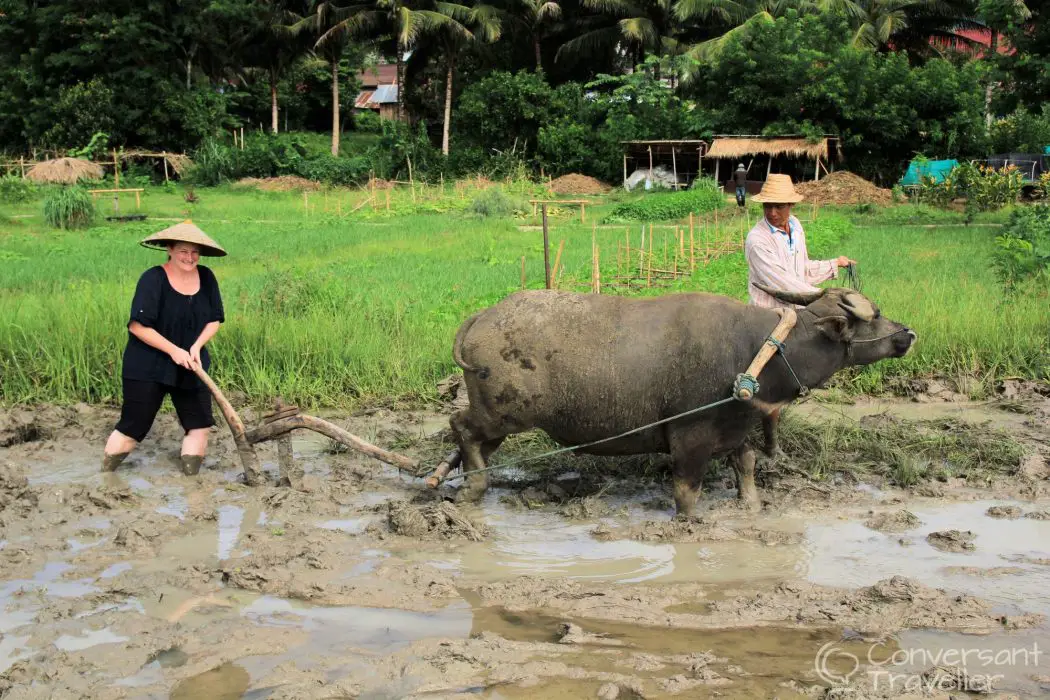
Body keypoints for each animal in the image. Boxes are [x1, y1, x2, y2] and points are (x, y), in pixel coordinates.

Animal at [447, 285, 915, 514]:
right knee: (461, 427)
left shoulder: (736, 427)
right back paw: (472, 488)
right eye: (874, 316)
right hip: (504, 413)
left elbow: (747, 464)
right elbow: (687, 492)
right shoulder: (692, 436)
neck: (759, 351)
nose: (907, 334)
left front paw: (752, 504)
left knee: (474, 441)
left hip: (501, 418)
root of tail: (483, 317)